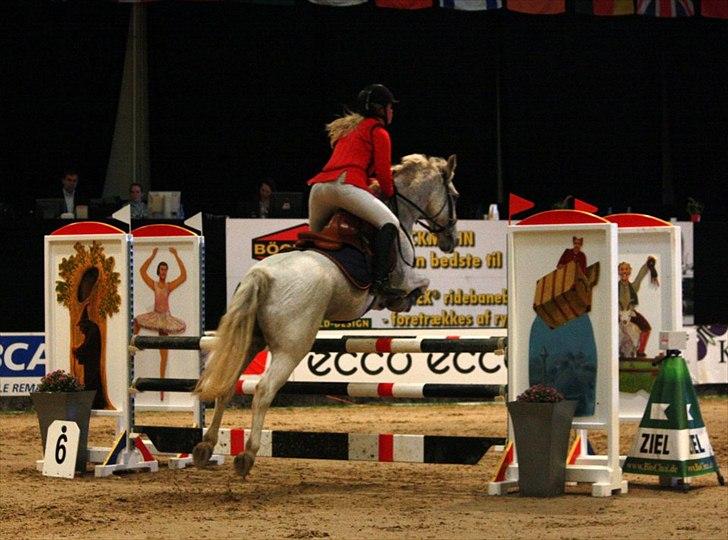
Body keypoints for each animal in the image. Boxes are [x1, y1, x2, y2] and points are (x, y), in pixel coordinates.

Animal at [191, 152, 458, 476]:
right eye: (455, 195)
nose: (451, 240)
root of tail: (261, 275)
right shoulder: (406, 276)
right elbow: (421, 284)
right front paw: (402, 301)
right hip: (291, 347)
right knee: (264, 390)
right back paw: (247, 455)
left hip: (250, 340)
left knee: (227, 386)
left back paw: (205, 447)